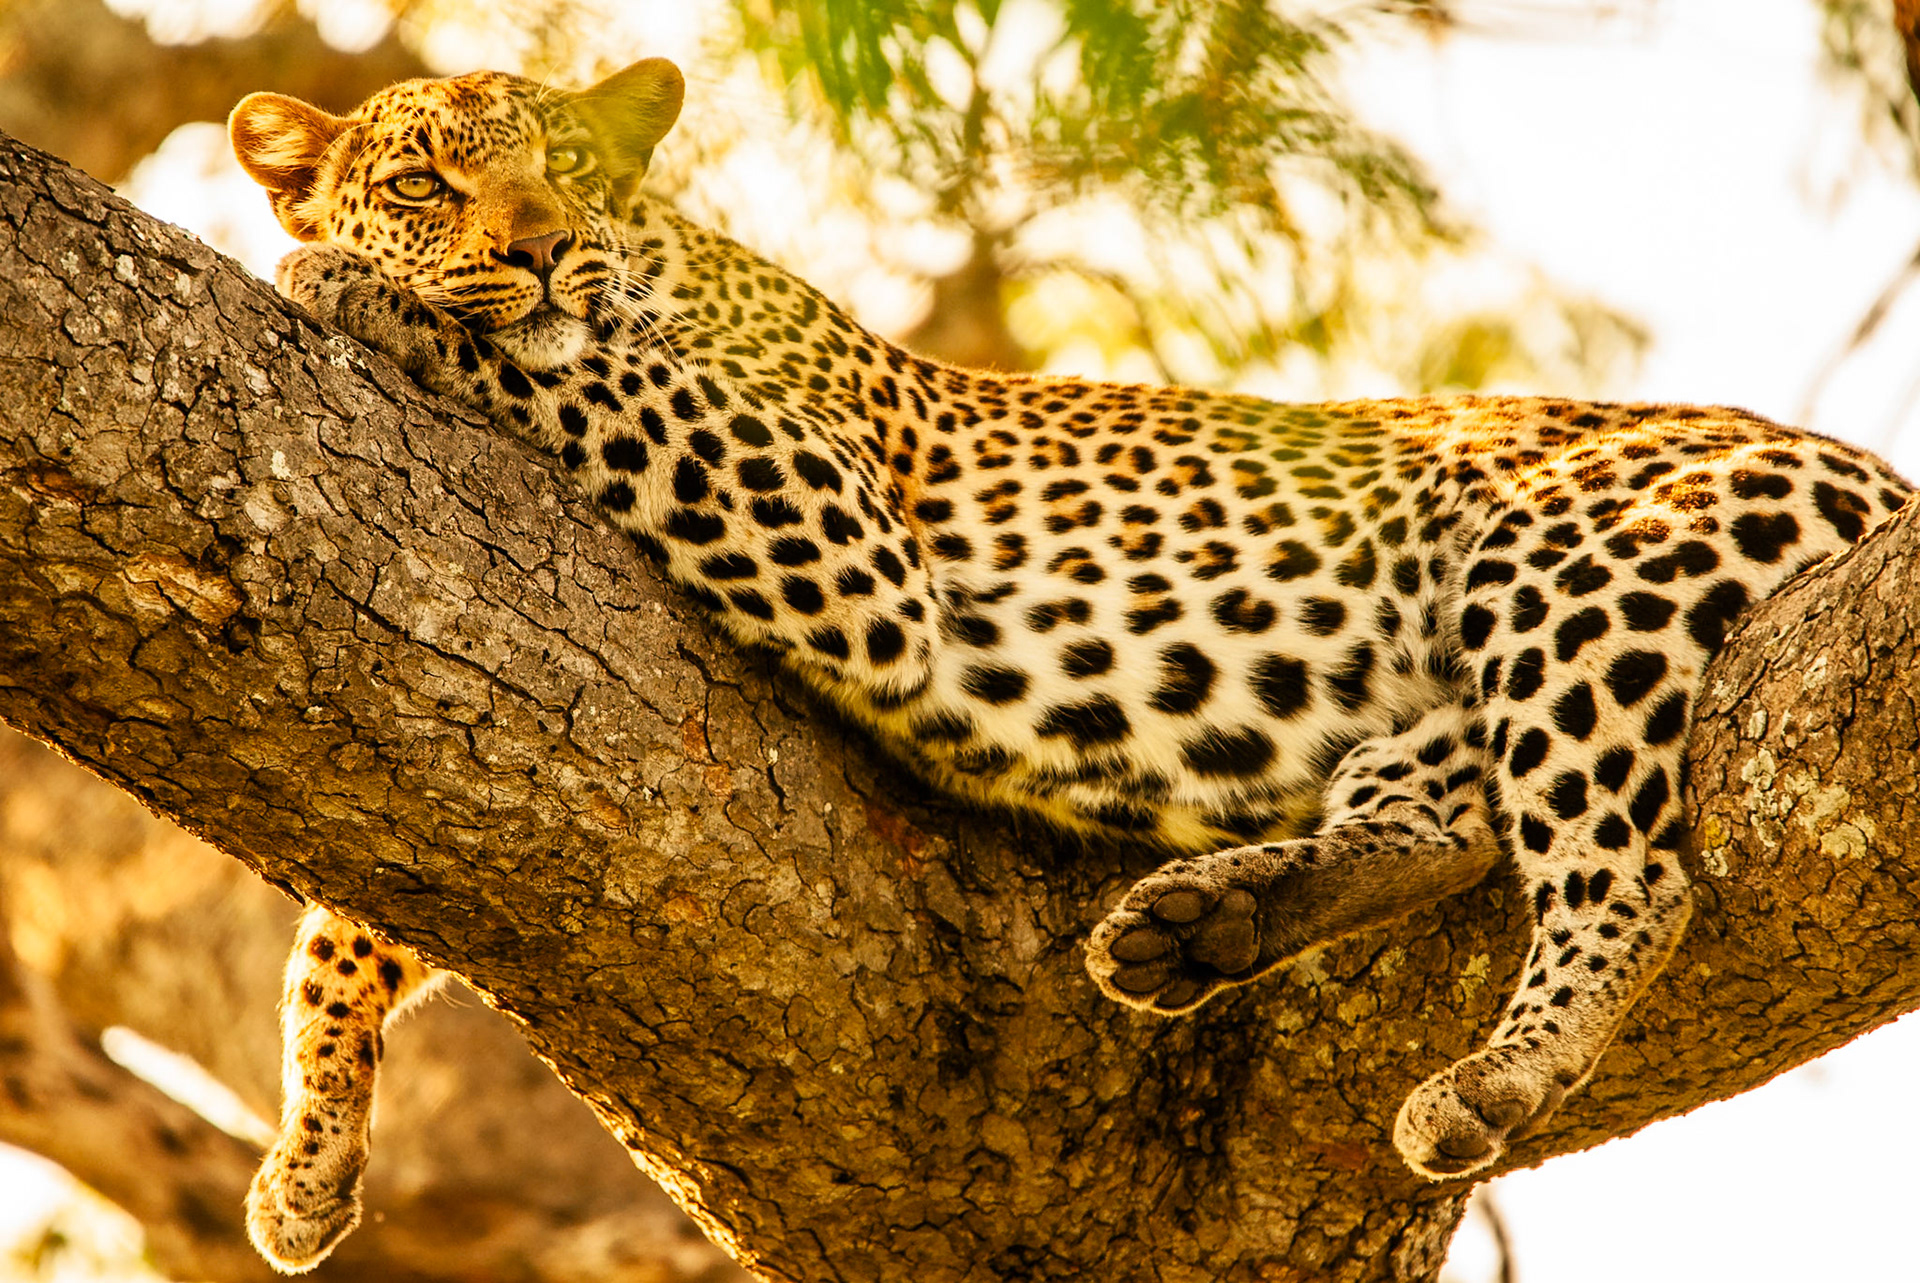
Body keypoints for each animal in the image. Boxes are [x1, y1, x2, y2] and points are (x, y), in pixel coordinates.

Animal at [227, 57, 1913, 1273]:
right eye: (424, 180)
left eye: (570, 175)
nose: (541, 248)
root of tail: (1861, 461)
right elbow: (350, 917)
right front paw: (308, 1151)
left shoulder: (840, 528)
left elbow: (591, 374)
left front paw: (364, 294)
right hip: (1463, 669)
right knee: (1445, 818)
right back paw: (1208, 920)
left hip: (1577, 561)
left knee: (1626, 872)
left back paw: (1493, 1069)